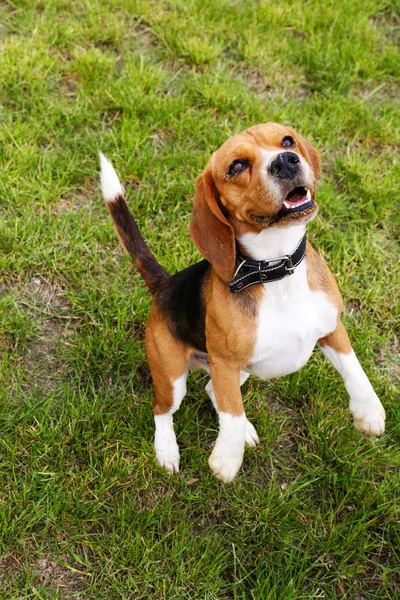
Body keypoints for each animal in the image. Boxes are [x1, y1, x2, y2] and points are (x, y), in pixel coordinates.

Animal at [99, 123, 384, 482]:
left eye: (287, 141)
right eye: (236, 166)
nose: (285, 161)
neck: (276, 270)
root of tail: (165, 284)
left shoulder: (332, 327)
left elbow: (355, 370)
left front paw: (369, 412)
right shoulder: (224, 362)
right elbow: (231, 414)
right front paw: (227, 458)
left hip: (244, 370)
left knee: (212, 391)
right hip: (173, 375)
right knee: (164, 409)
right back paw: (167, 450)